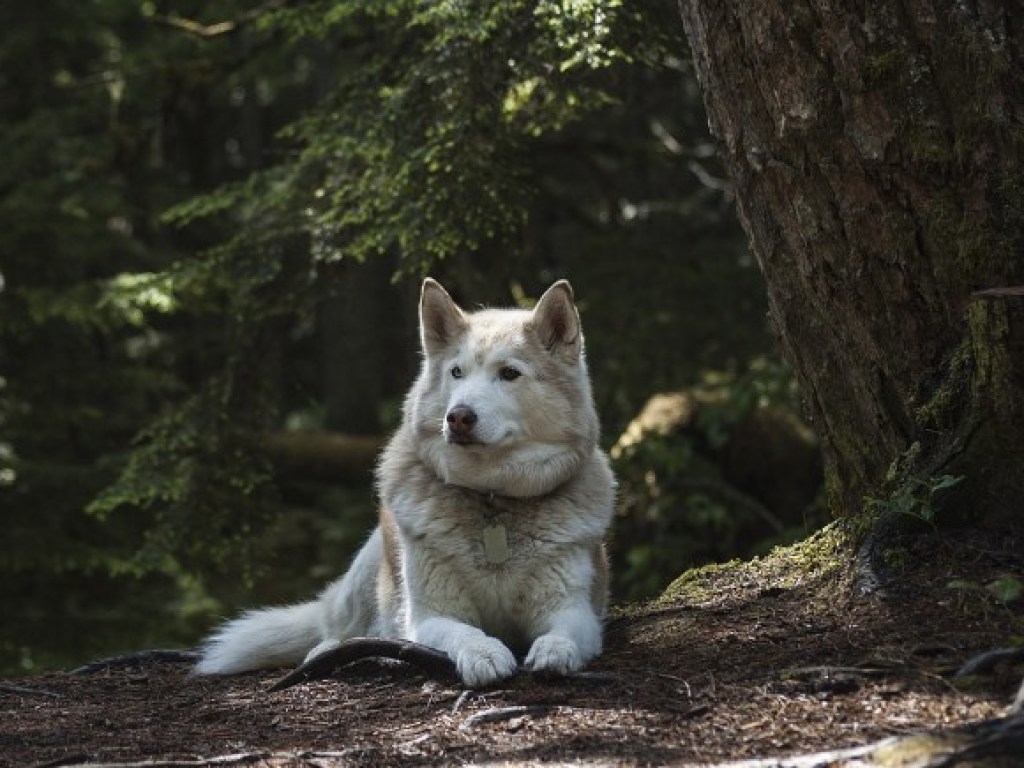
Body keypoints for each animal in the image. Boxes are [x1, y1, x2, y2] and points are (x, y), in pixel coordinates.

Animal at [198, 280, 614, 688]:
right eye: (456, 373)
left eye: (509, 373)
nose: (458, 417)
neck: (491, 499)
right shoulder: (428, 617)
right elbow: (464, 633)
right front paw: (484, 654)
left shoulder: (574, 609)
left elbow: (564, 632)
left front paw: (555, 651)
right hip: (369, 568)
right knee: (339, 630)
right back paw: (339, 650)